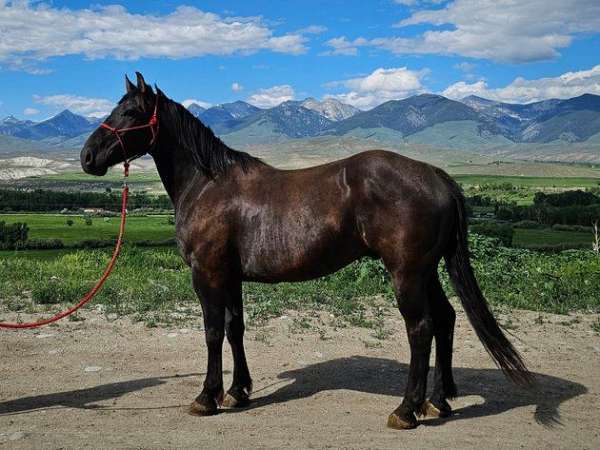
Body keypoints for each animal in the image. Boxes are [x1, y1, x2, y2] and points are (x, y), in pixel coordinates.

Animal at [78, 73, 528, 428]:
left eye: (130, 112)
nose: (87, 156)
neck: (208, 185)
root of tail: (435, 175)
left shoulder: (207, 273)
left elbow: (211, 331)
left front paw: (207, 397)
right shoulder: (231, 276)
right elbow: (234, 328)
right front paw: (238, 392)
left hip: (407, 272)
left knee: (421, 328)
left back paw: (407, 410)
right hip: (426, 270)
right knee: (446, 319)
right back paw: (439, 401)